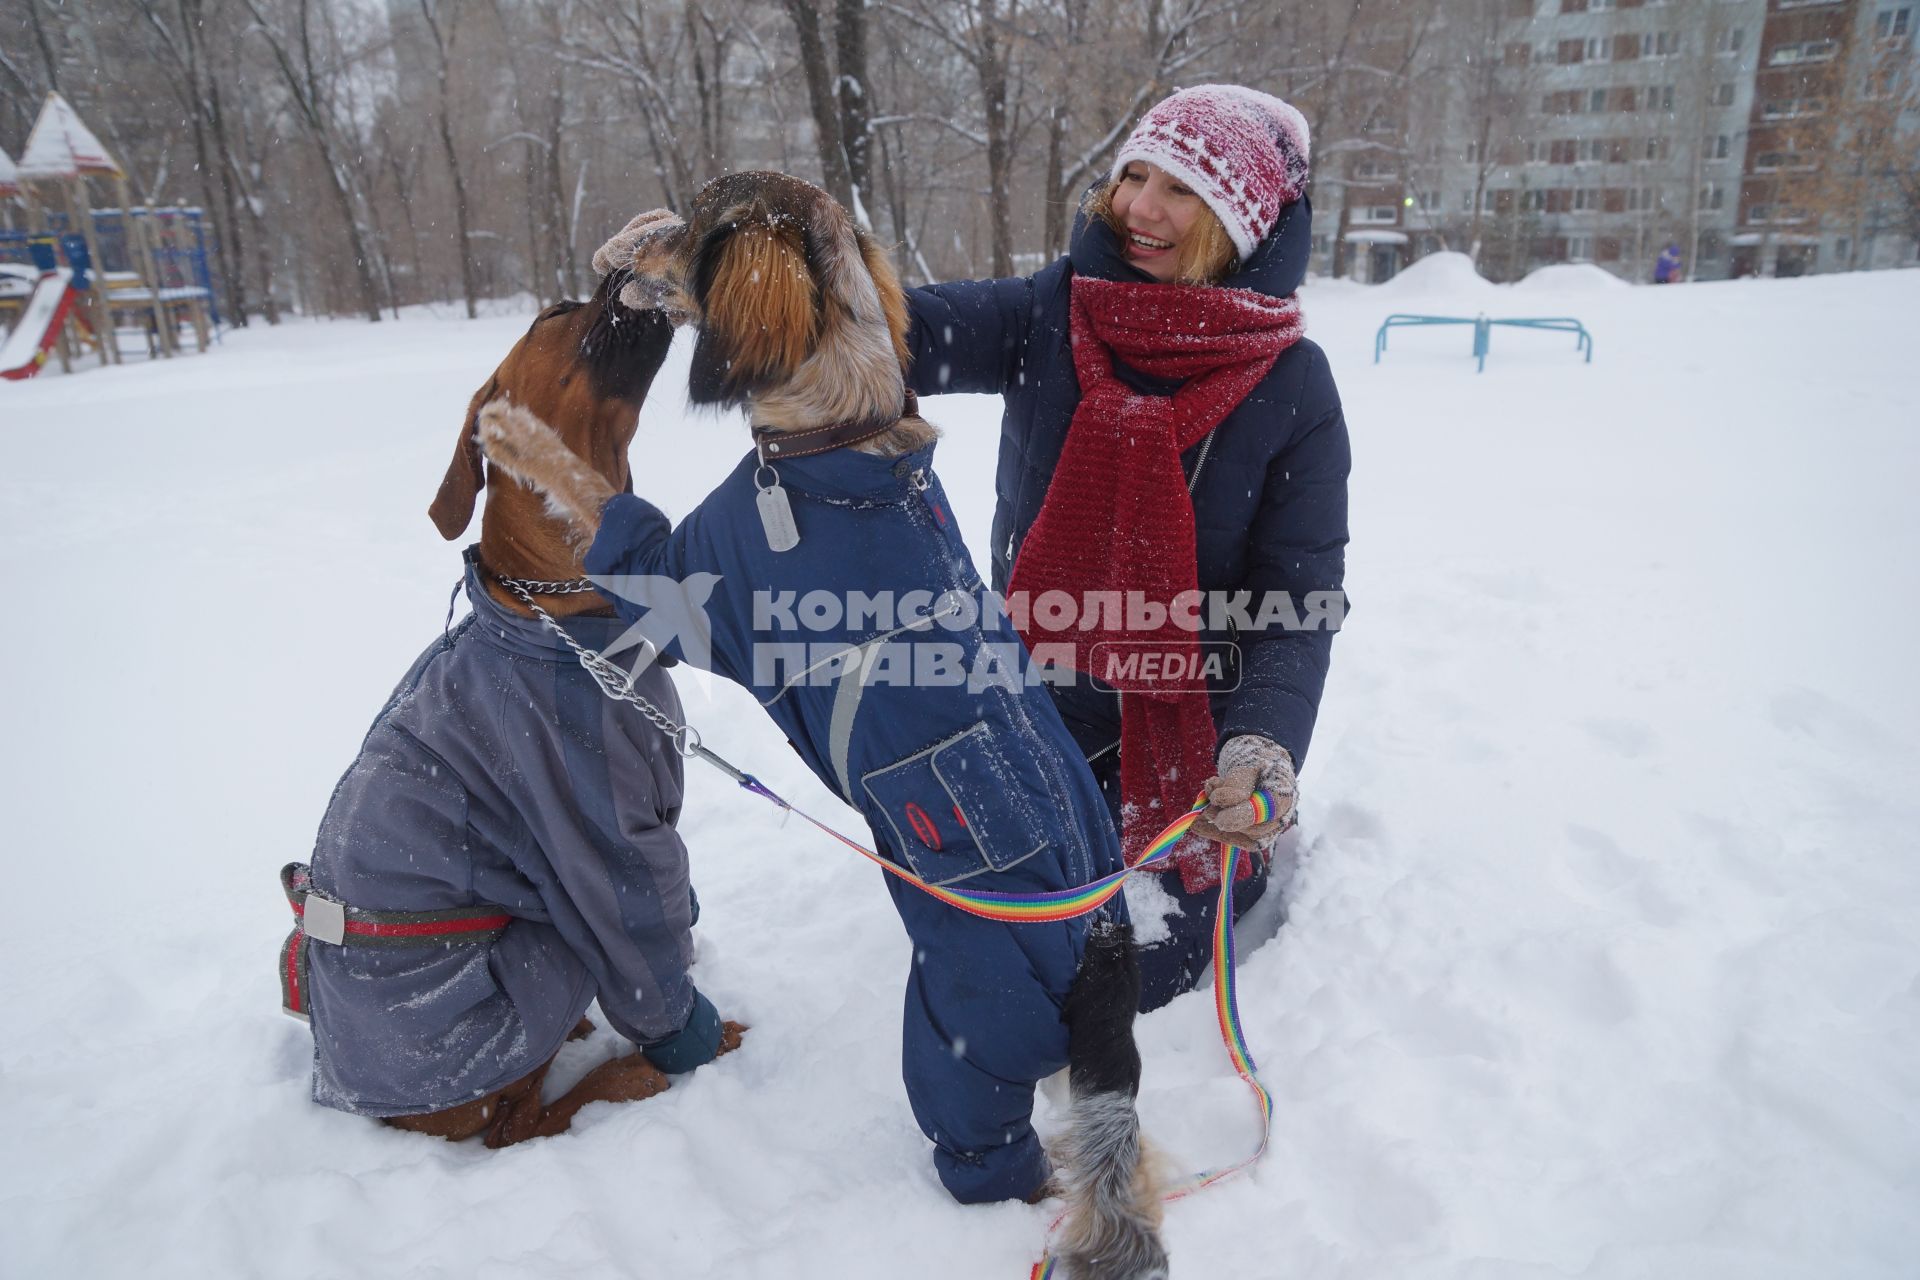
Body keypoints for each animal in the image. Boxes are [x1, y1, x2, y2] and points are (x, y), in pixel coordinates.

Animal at [480, 172, 1167, 1280]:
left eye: (692, 224)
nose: (632, 240)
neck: (836, 437)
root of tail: (1103, 942)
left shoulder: (678, 577)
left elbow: (593, 495)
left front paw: (511, 433)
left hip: (964, 1019)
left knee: (1002, 1154)